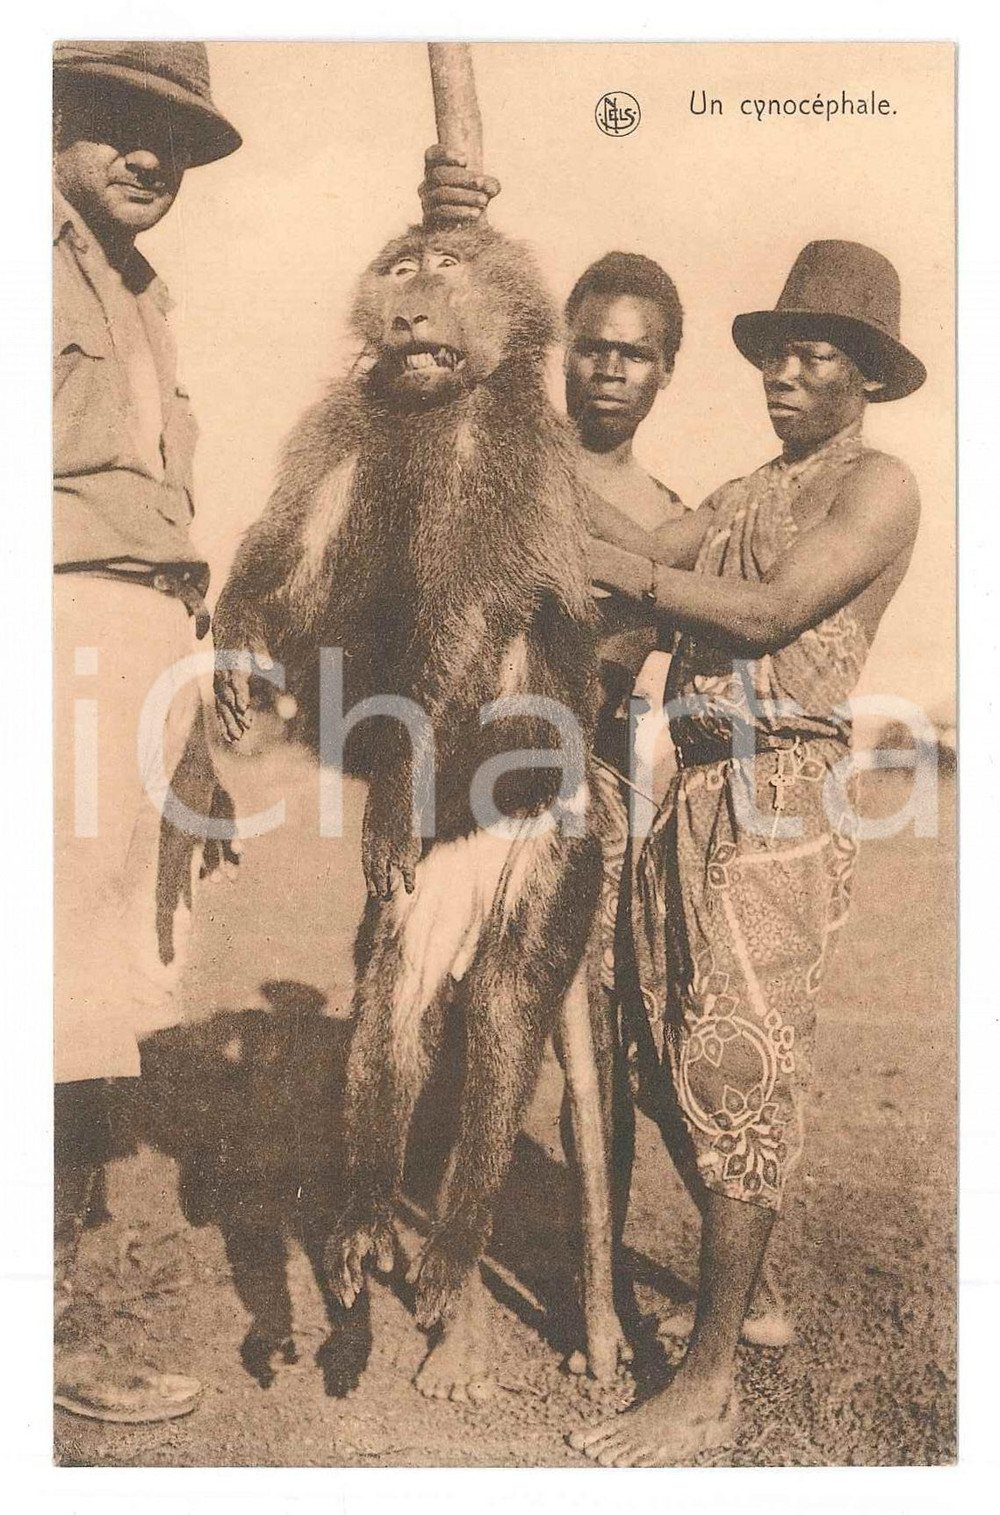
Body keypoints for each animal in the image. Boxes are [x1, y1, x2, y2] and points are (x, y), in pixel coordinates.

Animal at [212, 219, 613, 1373]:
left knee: (508, 1000)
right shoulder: (351, 418)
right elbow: (298, 550)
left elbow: (473, 610)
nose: (408, 309)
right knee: (400, 991)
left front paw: (391, 785)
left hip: (556, 837)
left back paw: (457, 1236)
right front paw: (235, 640)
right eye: (399, 270)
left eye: (444, 265)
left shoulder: (506, 450)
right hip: (436, 882)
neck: (437, 406)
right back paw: (364, 1213)